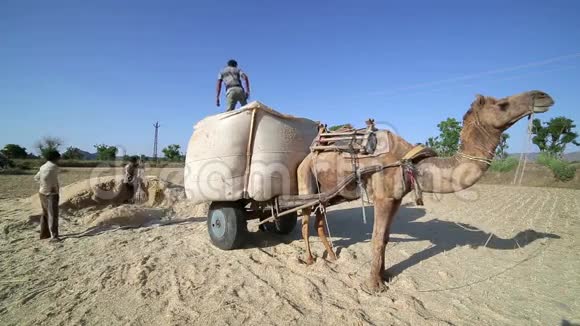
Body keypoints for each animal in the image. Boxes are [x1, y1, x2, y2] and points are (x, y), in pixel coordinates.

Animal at [296, 88, 556, 290]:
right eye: (502, 104)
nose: (543, 96)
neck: (411, 162)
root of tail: (307, 156)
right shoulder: (383, 198)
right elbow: (377, 239)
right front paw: (374, 286)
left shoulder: (396, 199)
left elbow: (386, 238)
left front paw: (385, 275)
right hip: (305, 180)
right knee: (306, 220)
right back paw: (309, 259)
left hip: (329, 192)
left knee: (320, 220)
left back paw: (332, 257)